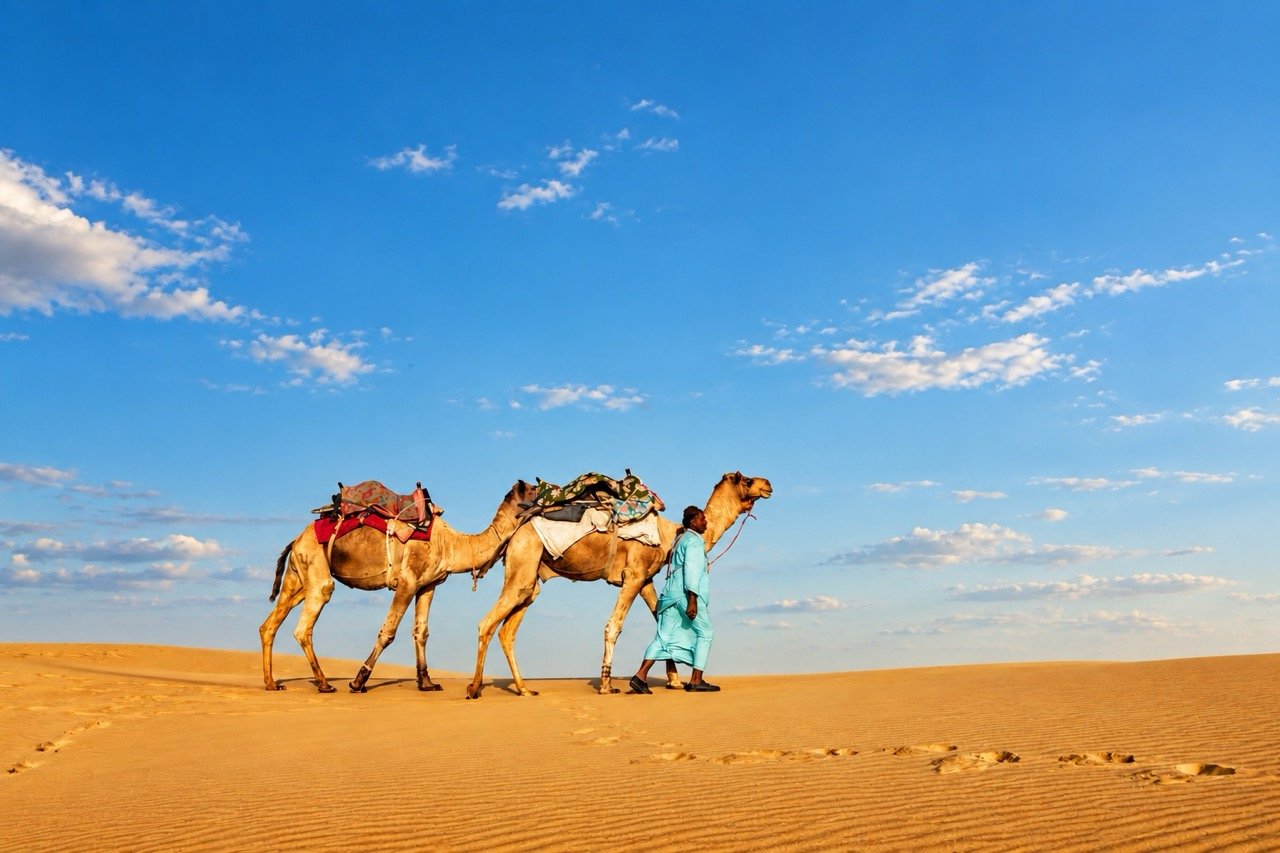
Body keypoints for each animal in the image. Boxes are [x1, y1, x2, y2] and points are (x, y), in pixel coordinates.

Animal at [259, 480, 537, 693]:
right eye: (535, 490)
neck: (451, 544)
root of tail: (296, 539)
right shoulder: (407, 582)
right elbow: (388, 632)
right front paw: (358, 681)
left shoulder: (428, 585)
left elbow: (421, 632)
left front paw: (427, 683)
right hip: (317, 569)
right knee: (303, 627)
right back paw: (324, 684)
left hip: (297, 578)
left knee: (269, 625)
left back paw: (272, 684)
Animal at [465, 471, 772, 699]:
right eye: (746, 480)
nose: (767, 483)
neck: (670, 535)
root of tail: (514, 531)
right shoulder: (633, 575)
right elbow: (614, 625)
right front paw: (607, 684)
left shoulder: (646, 578)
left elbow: (659, 620)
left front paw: (672, 681)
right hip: (524, 562)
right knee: (487, 623)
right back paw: (474, 688)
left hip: (531, 579)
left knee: (508, 631)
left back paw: (524, 689)